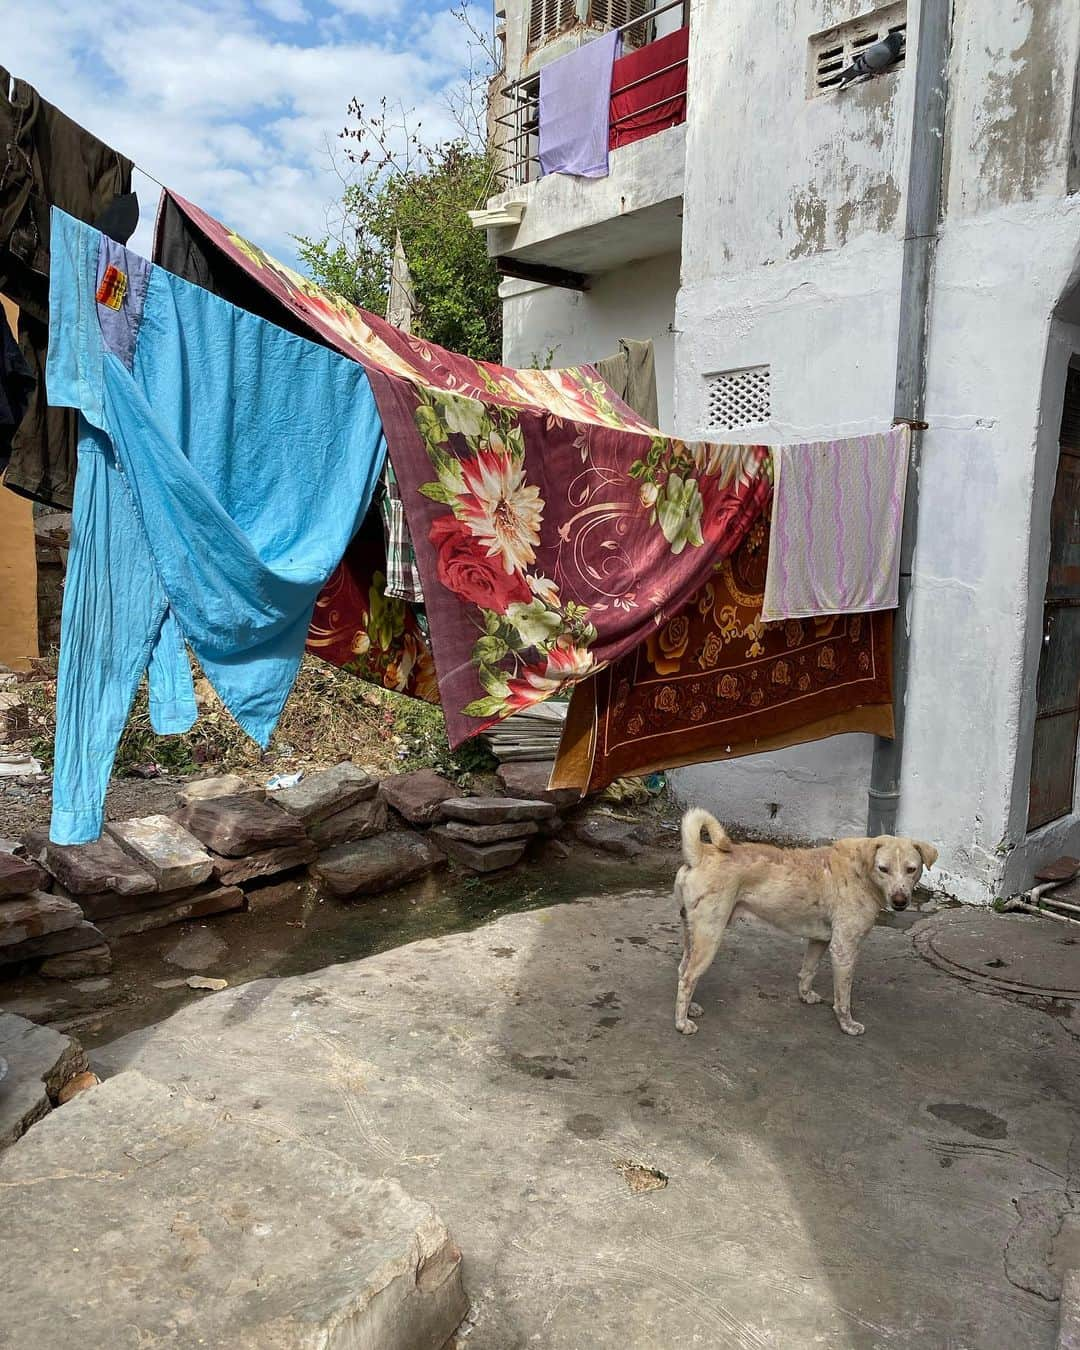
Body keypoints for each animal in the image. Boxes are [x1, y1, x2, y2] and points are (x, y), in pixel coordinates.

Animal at [675, 804, 934, 1036]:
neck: (861, 870)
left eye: (912, 869)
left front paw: (805, 995)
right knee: (688, 978)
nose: (900, 901)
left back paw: (691, 1008)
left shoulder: (820, 940)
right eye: (883, 868)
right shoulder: (844, 948)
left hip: (692, 934)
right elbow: (843, 996)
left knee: (683, 970)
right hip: (710, 936)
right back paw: (682, 1023)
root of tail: (700, 855)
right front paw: (847, 1024)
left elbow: (808, 970)